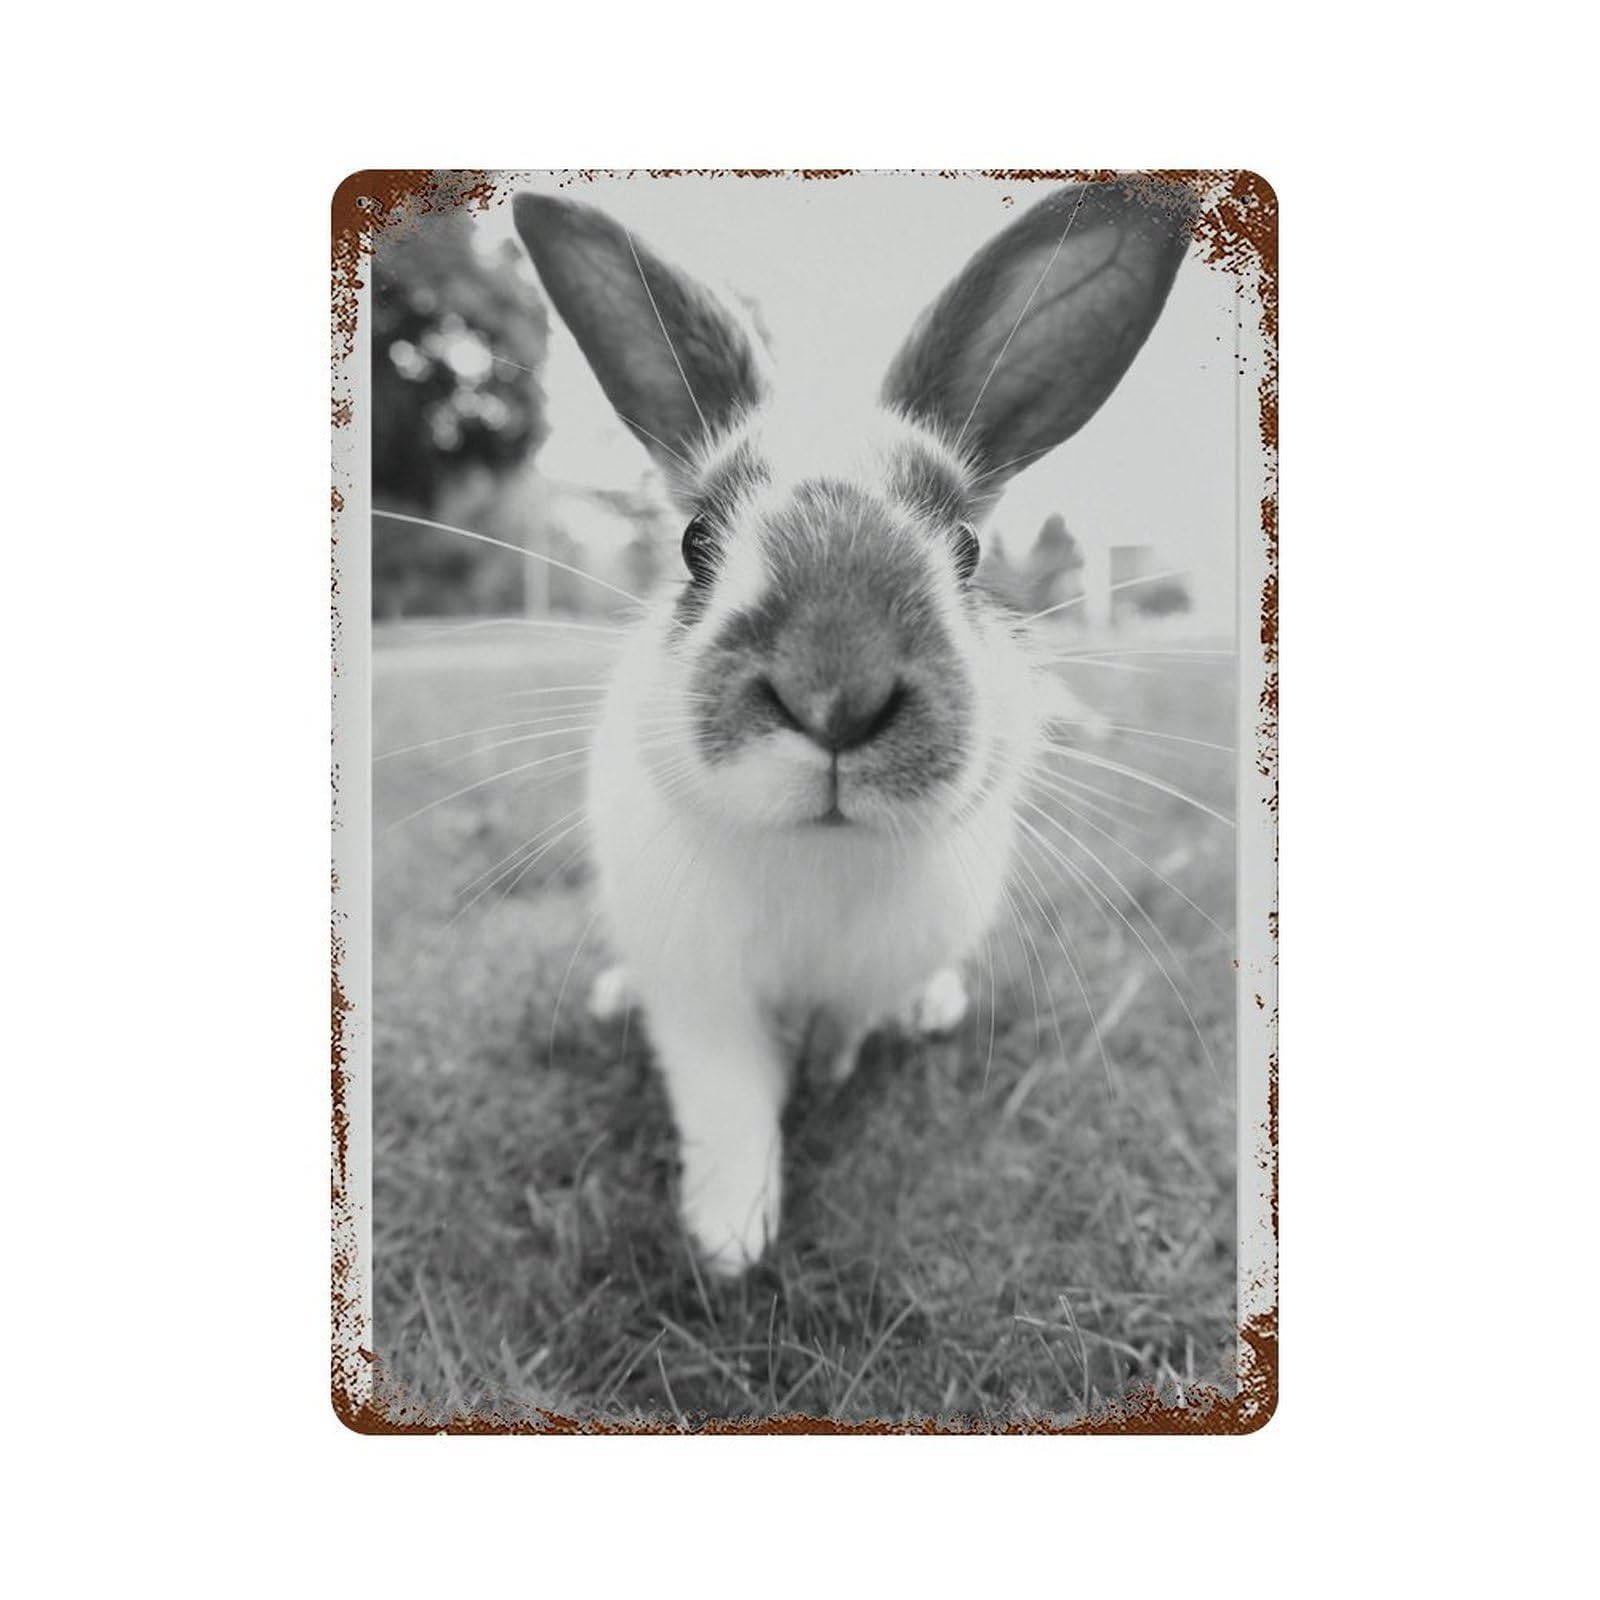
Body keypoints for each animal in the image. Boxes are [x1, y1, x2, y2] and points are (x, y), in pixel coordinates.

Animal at [512, 176, 1195, 1276]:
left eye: (967, 550)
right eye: (696, 544)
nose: (835, 693)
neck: (819, 857)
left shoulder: (869, 974)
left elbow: (843, 1031)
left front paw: (827, 1075)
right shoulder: (702, 1002)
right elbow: (731, 1107)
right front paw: (729, 1240)